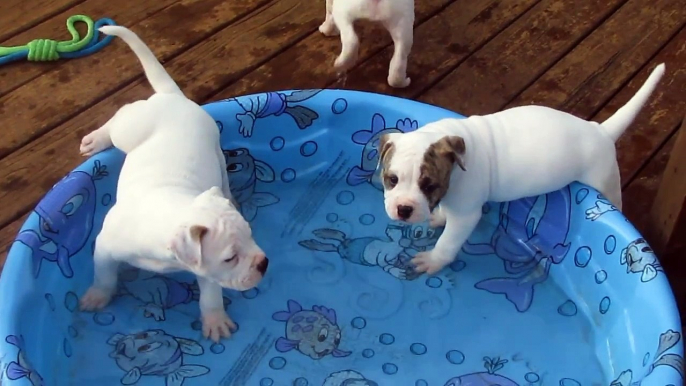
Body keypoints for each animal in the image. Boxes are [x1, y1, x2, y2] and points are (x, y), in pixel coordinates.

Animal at [76, 25, 268, 342]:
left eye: (252, 236)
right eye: (230, 258)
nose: (264, 263)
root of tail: (173, 97)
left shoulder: (205, 270)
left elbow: (210, 295)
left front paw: (215, 319)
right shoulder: (104, 247)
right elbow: (104, 274)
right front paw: (97, 296)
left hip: (215, 149)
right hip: (131, 129)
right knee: (120, 116)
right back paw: (97, 138)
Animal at [376, 63, 668, 274]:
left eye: (429, 186)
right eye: (392, 179)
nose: (403, 209)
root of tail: (601, 131)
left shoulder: (467, 213)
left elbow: (448, 240)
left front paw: (433, 261)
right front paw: (439, 216)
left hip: (605, 180)